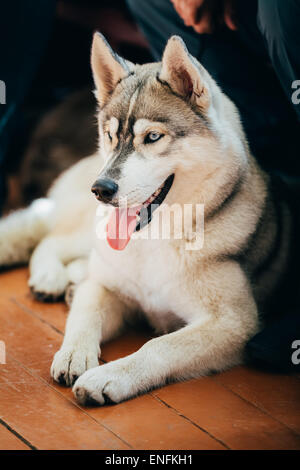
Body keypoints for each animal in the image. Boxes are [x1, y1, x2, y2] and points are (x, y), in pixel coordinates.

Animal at [0, 35, 294, 406]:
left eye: (152, 137)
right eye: (110, 135)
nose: (101, 188)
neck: (155, 239)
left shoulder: (233, 323)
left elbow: (159, 346)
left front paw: (109, 377)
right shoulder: (106, 285)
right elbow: (86, 313)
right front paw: (74, 352)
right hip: (89, 229)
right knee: (49, 240)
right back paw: (51, 276)